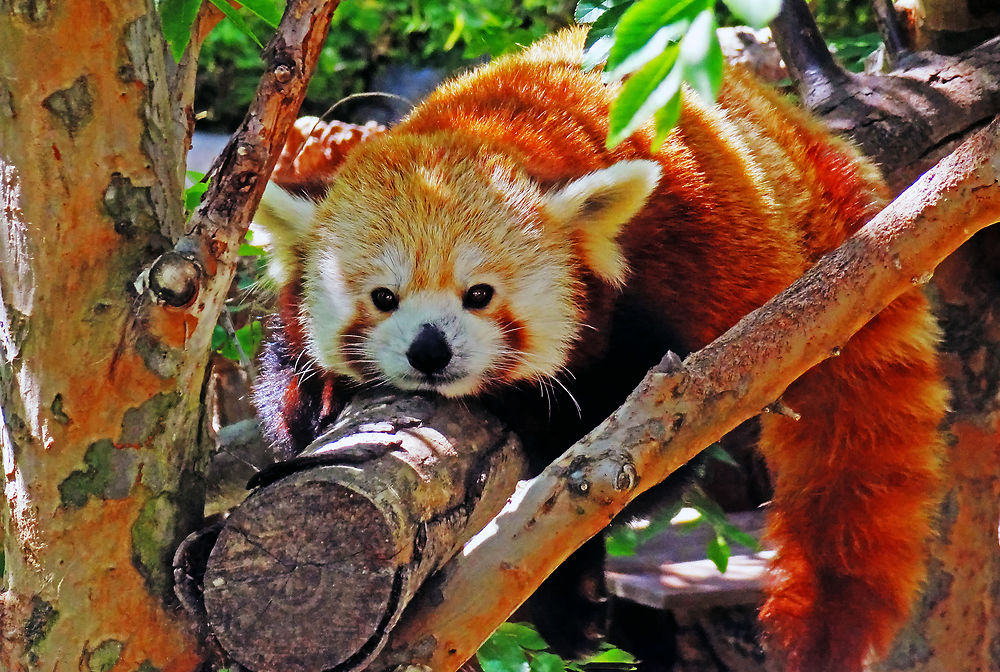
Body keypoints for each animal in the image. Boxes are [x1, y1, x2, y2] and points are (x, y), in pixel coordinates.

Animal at [254, 26, 948, 672]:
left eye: (479, 294)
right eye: (383, 297)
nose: (430, 353)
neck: (494, 126)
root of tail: (789, 124)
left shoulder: (664, 292)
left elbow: (618, 450)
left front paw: (528, 422)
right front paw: (316, 399)